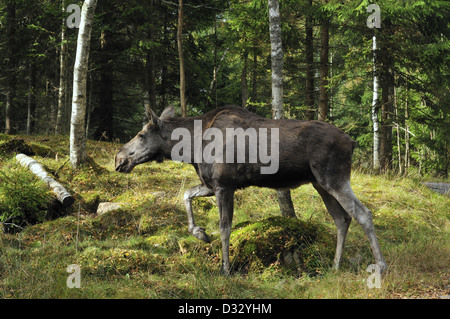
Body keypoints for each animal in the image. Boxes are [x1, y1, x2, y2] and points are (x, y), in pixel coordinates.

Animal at [115, 106, 386, 276]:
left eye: (141, 134)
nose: (118, 158)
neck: (191, 149)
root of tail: (351, 142)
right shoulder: (211, 184)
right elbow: (186, 195)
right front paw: (200, 233)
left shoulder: (224, 185)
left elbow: (225, 228)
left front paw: (225, 269)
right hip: (321, 183)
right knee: (342, 218)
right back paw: (335, 265)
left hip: (334, 178)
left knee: (364, 214)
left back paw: (380, 266)